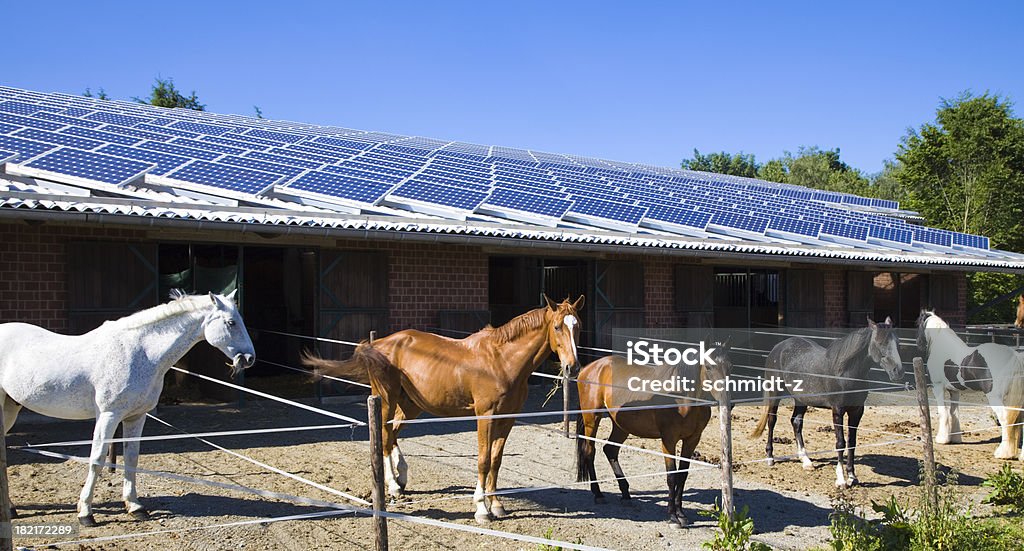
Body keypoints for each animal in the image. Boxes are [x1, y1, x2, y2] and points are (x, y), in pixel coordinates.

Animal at [0, 286, 254, 522]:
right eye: (231, 322)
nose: (249, 359)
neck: (140, 351)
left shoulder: (136, 416)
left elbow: (132, 457)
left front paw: (135, 507)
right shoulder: (109, 415)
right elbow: (97, 459)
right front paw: (85, 513)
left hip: (10, 408)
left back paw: (11, 509)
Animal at [301, 292, 585, 520]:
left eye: (578, 327)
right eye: (557, 327)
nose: (573, 367)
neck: (502, 361)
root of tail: (378, 344)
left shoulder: (508, 418)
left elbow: (496, 460)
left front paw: (496, 505)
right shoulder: (485, 416)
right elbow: (483, 460)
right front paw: (481, 508)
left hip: (411, 404)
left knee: (391, 433)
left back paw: (401, 479)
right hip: (386, 399)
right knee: (383, 434)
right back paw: (392, 484)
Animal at [577, 335, 729, 524]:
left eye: (730, 366)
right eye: (708, 366)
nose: (726, 400)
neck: (682, 398)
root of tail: (589, 368)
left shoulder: (692, 440)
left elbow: (683, 475)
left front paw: (681, 513)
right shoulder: (668, 440)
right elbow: (672, 476)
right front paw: (672, 516)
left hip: (621, 426)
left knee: (610, 450)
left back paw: (625, 493)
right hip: (592, 419)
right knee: (590, 451)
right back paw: (598, 493)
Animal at [745, 317, 905, 485]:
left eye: (898, 342)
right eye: (880, 343)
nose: (898, 372)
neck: (845, 373)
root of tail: (778, 347)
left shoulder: (857, 411)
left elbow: (852, 443)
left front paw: (852, 477)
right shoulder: (838, 410)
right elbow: (840, 443)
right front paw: (840, 480)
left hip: (801, 399)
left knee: (796, 422)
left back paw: (806, 461)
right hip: (775, 392)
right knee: (772, 420)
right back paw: (770, 458)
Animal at [917, 309, 1024, 458]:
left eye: (918, 324)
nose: (918, 344)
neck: (943, 349)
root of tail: (1014, 356)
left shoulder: (937, 387)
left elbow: (943, 412)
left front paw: (942, 439)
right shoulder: (954, 391)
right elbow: (954, 413)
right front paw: (955, 438)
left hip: (995, 397)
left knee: (1005, 419)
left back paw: (1002, 453)